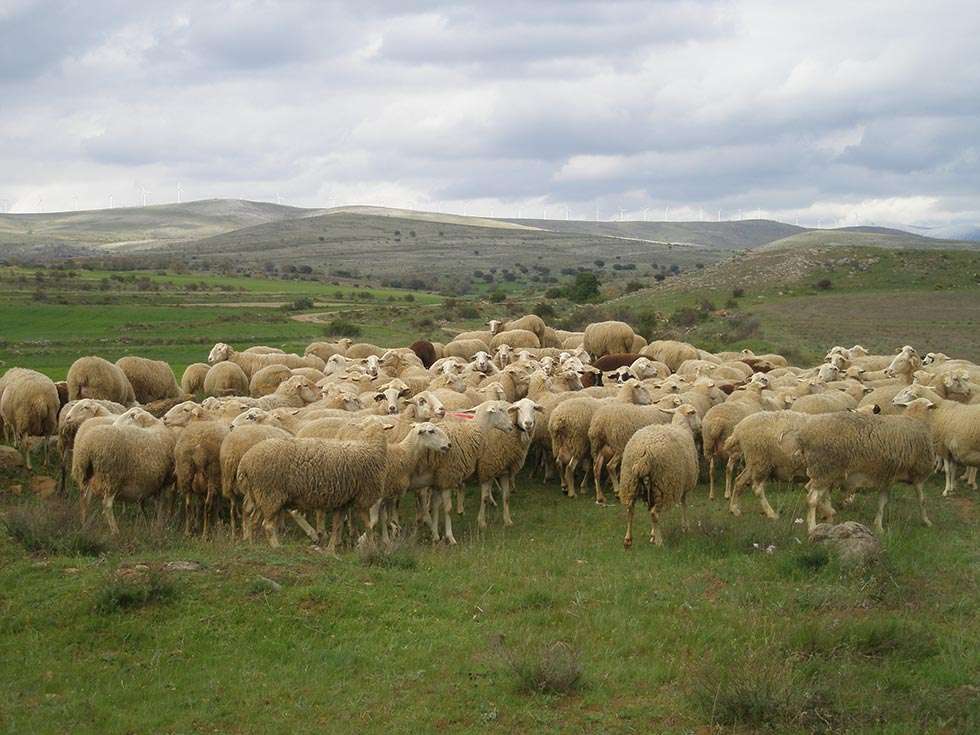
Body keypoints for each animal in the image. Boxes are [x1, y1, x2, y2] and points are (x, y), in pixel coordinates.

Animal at [72, 408, 175, 536]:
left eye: (131, 416)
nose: (113, 425)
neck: (153, 425)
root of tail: (87, 447)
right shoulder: (164, 481)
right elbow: (161, 504)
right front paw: (159, 525)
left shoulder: (155, 482)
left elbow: (154, 504)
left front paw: (150, 521)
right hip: (111, 477)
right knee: (106, 504)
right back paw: (115, 531)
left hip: (88, 476)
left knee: (85, 499)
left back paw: (85, 525)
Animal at [620, 408, 704, 548]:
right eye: (694, 412)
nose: (701, 425)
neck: (682, 426)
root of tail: (644, 452)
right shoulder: (684, 485)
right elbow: (684, 504)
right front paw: (685, 527)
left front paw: (653, 534)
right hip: (663, 485)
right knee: (654, 513)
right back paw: (660, 543)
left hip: (630, 482)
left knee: (630, 509)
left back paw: (628, 540)